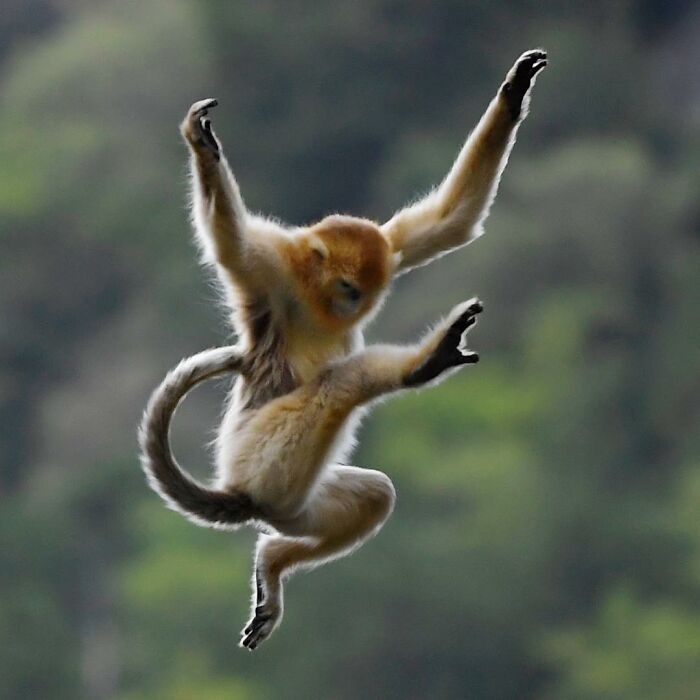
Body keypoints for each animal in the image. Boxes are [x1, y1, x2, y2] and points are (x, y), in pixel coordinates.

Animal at [139, 50, 546, 650]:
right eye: (348, 288)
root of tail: (246, 495)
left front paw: (514, 91)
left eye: (366, 291)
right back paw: (427, 361)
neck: (312, 297)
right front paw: (202, 144)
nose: (358, 306)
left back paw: (274, 560)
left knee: (373, 493)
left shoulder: (387, 248)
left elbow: (450, 223)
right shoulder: (273, 271)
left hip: (301, 502)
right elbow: (231, 244)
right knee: (340, 386)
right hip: (262, 462)